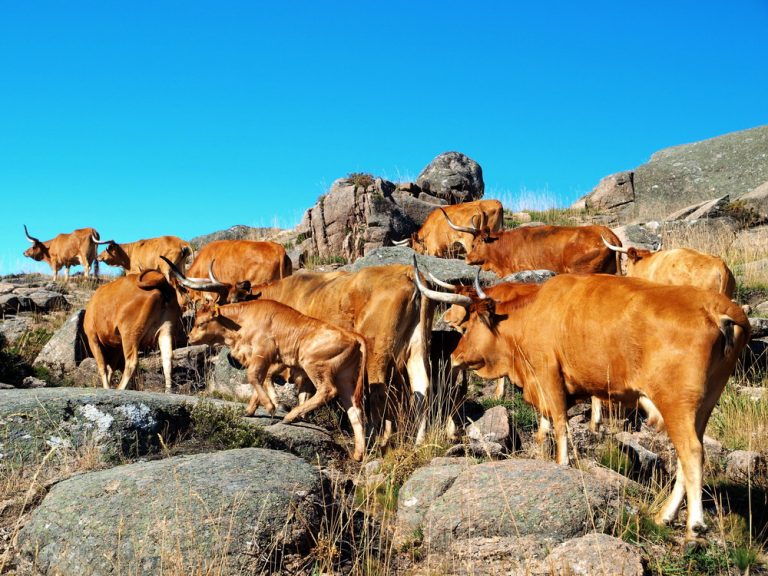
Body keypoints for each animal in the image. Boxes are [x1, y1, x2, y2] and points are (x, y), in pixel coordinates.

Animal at [187, 300, 366, 462]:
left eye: (201, 323)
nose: (189, 337)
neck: (242, 321)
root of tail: (353, 336)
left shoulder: (263, 351)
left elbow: (253, 376)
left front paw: (270, 405)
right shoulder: (269, 359)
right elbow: (262, 378)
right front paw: (251, 410)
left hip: (314, 365)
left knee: (327, 391)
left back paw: (291, 416)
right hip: (345, 379)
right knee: (354, 410)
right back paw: (358, 453)